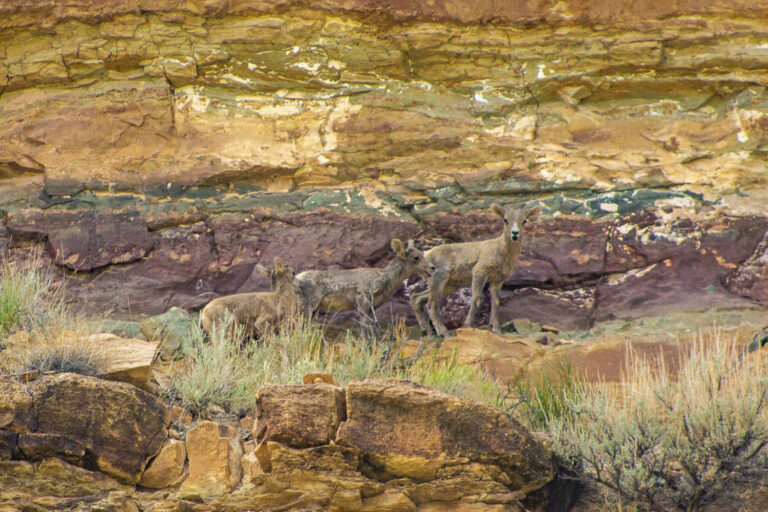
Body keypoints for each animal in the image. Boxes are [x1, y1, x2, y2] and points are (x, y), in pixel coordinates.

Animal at [296, 240, 436, 320]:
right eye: (416, 257)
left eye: (423, 253)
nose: (432, 267)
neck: (385, 280)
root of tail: (296, 279)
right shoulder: (362, 303)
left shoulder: (371, 308)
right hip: (309, 305)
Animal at [412, 204, 544, 340]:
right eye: (505, 219)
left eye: (524, 220)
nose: (515, 233)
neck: (502, 251)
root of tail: (426, 255)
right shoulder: (479, 272)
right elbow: (476, 298)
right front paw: (467, 325)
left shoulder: (497, 280)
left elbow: (495, 301)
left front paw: (496, 328)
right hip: (439, 278)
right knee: (431, 304)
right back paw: (444, 333)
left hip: (449, 286)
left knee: (417, 298)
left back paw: (427, 332)